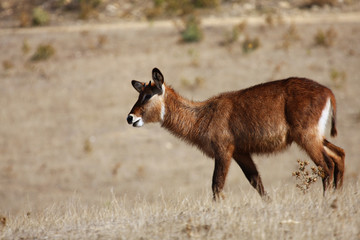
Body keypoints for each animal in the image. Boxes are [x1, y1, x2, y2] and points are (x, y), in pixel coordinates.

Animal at [127, 68, 346, 201]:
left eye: (147, 96)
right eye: (139, 94)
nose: (130, 118)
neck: (203, 115)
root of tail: (328, 92)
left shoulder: (224, 151)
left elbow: (217, 185)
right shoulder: (241, 153)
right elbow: (256, 182)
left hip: (307, 137)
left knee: (326, 165)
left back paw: (326, 200)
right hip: (316, 136)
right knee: (339, 155)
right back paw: (337, 197)